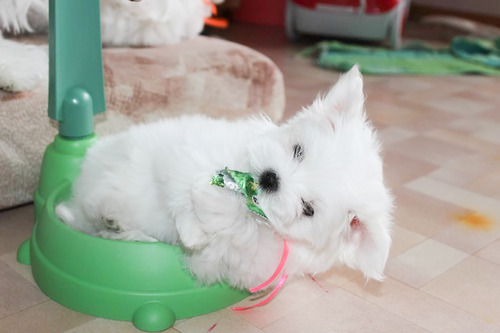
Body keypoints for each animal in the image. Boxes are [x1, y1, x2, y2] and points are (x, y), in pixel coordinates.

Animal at [57, 67, 394, 288]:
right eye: (298, 150)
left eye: (308, 209)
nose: (271, 178)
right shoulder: (187, 150)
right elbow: (180, 186)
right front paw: (192, 219)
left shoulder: (248, 255)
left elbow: (227, 229)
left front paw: (199, 225)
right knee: (89, 208)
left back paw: (118, 228)